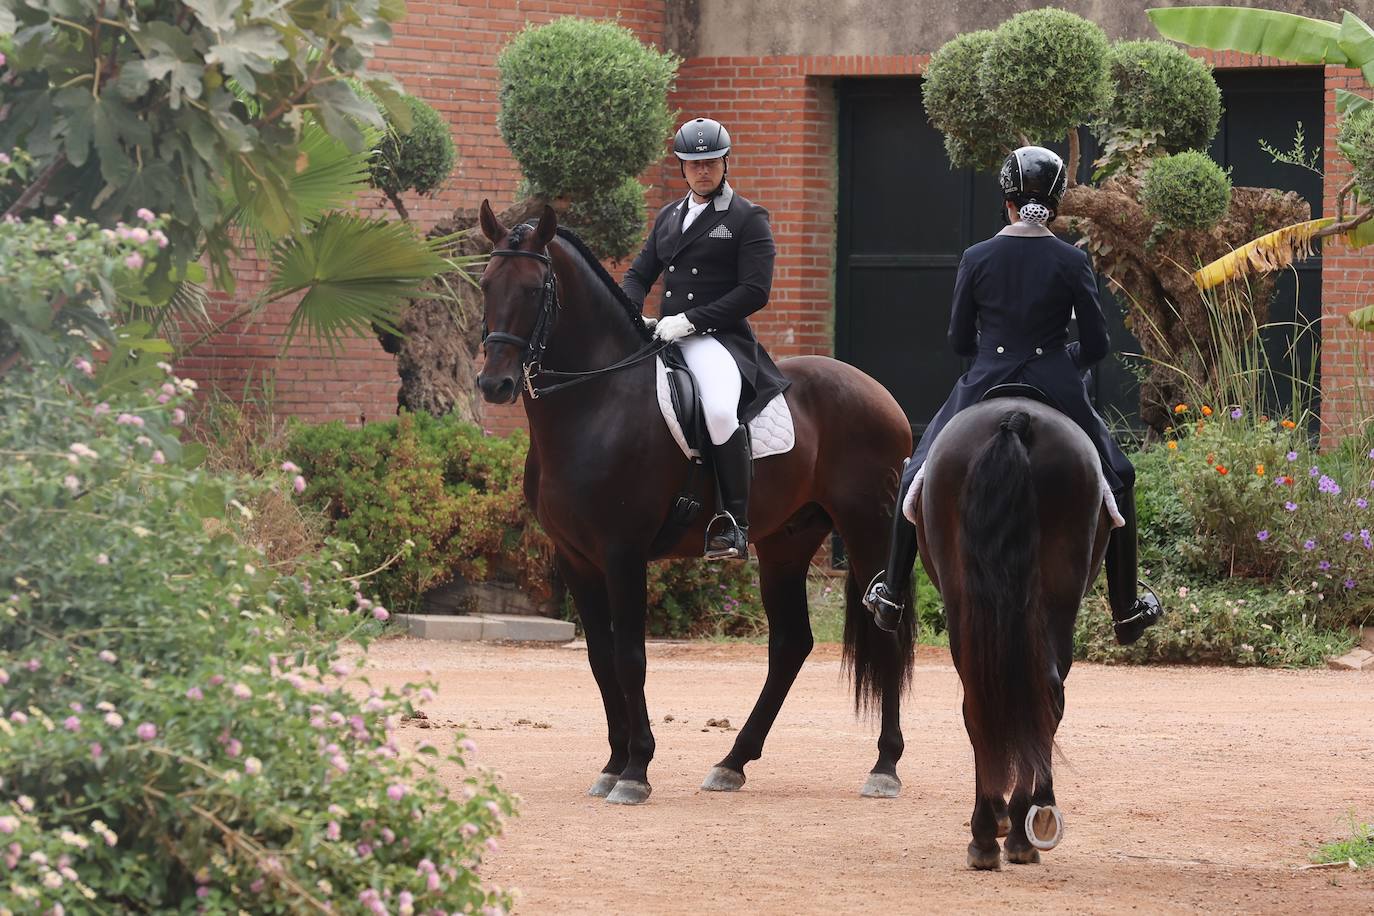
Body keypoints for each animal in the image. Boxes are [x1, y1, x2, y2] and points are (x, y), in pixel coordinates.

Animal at [478, 204, 917, 807]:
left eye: (533, 289)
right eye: (485, 284)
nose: (493, 384)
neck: (594, 404)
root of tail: (881, 394)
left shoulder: (622, 552)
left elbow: (630, 656)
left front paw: (636, 770)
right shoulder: (575, 556)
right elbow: (599, 658)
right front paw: (612, 764)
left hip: (867, 526)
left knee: (883, 627)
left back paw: (885, 766)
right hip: (786, 542)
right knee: (791, 644)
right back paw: (732, 763)